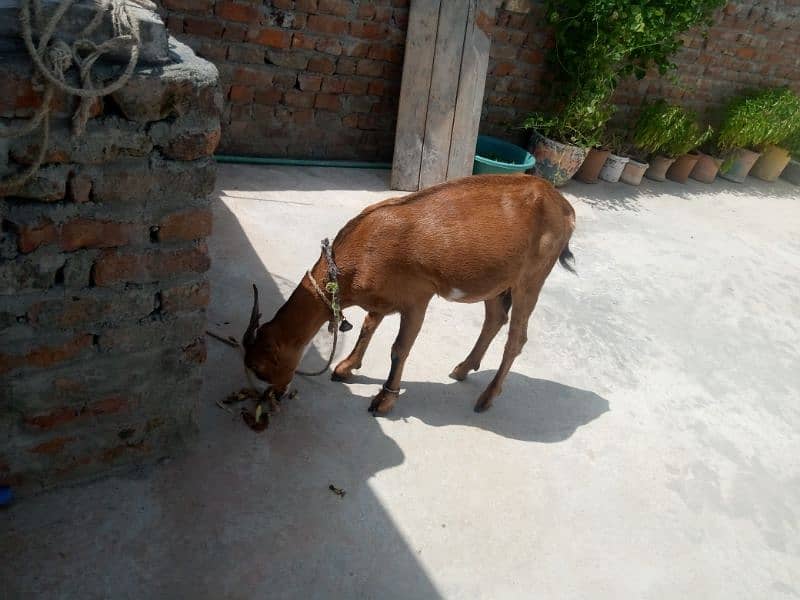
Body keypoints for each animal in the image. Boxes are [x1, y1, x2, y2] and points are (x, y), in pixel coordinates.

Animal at [244, 173, 576, 414]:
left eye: (260, 368)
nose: (274, 396)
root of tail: (565, 208)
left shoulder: (418, 297)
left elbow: (399, 348)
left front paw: (384, 400)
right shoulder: (382, 296)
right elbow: (368, 326)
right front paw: (345, 367)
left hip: (532, 277)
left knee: (517, 337)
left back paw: (486, 398)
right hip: (498, 278)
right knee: (495, 318)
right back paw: (462, 369)